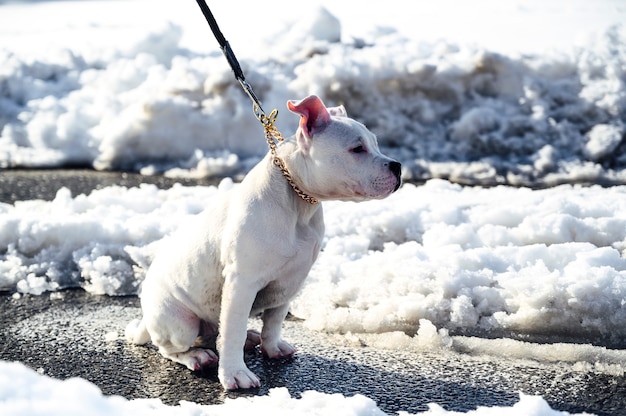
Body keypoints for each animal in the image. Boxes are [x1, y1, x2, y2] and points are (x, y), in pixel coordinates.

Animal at [124, 95, 402, 390]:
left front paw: (272, 347)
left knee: (216, 332)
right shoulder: (241, 283)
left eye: (375, 143)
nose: (397, 166)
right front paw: (235, 373)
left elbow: (275, 320)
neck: (299, 201)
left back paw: (249, 337)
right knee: (172, 348)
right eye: (357, 149)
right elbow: (232, 331)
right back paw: (197, 357)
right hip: (180, 323)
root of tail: (146, 318)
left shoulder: (291, 280)